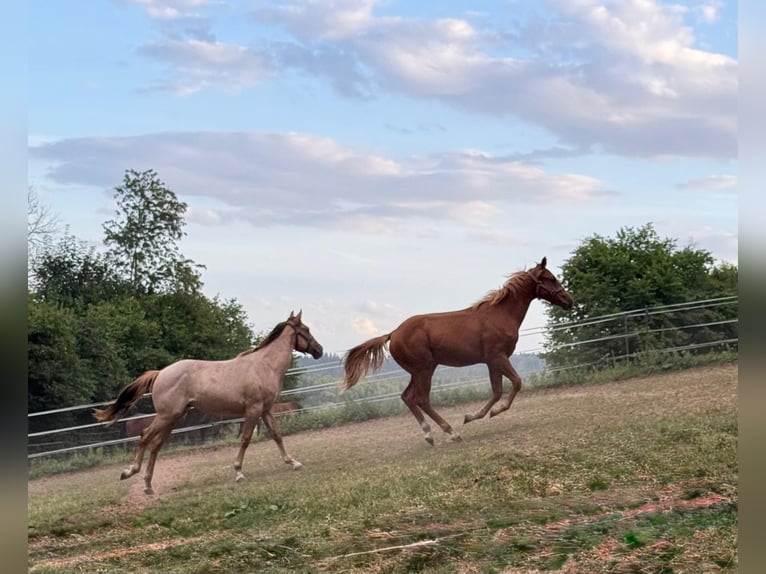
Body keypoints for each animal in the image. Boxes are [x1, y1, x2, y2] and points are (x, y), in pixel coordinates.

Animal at [94, 311, 323, 495]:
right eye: (306, 329)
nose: (319, 350)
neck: (264, 365)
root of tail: (160, 373)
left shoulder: (265, 410)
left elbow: (277, 435)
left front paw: (293, 463)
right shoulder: (253, 409)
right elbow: (246, 439)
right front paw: (238, 473)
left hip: (174, 418)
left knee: (156, 446)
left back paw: (148, 485)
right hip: (166, 416)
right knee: (144, 437)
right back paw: (129, 472)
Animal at [342, 258, 573, 445]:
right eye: (550, 278)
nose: (569, 301)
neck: (500, 315)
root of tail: (393, 333)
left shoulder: (491, 362)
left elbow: (497, 391)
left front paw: (473, 416)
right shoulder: (498, 357)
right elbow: (516, 383)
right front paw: (491, 413)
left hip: (420, 370)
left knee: (407, 397)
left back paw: (429, 435)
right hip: (424, 369)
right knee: (421, 399)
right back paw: (451, 433)